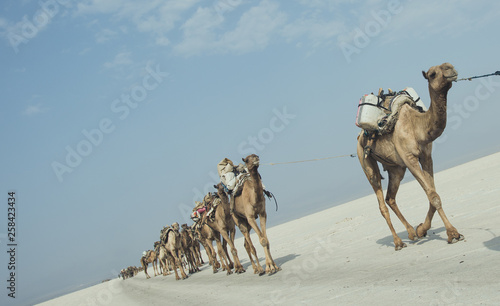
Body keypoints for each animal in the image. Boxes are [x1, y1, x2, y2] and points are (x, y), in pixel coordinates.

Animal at [356, 62, 464, 251]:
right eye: (432, 74)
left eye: (448, 65)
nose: (450, 68)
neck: (417, 125)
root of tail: (359, 136)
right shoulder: (409, 158)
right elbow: (433, 196)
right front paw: (453, 233)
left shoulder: (426, 156)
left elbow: (432, 193)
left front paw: (421, 229)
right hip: (365, 160)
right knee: (380, 200)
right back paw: (398, 242)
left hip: (396, 169)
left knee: (390, 198)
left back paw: (411, 233)